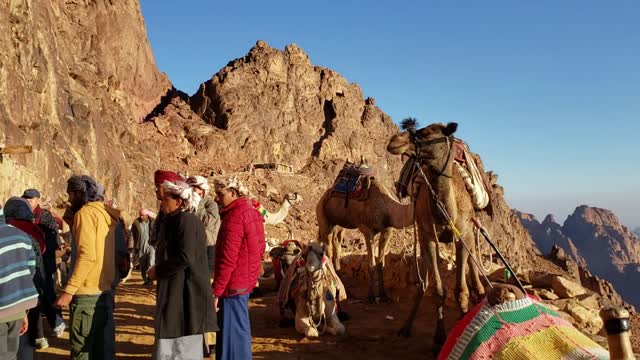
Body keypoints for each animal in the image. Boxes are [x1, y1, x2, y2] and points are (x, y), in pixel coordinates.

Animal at [388, 121, 488, 352]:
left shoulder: (463, 237)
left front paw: (462, 325)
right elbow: (438, 291)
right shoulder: (429, 237)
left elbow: (460, 289)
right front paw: (439, 338)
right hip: (424, 238)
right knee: (423, 282)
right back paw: (406, 327)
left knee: (473, 269)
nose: (395, 141)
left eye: (425, 134)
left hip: (470, 235)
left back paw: (479, 294)